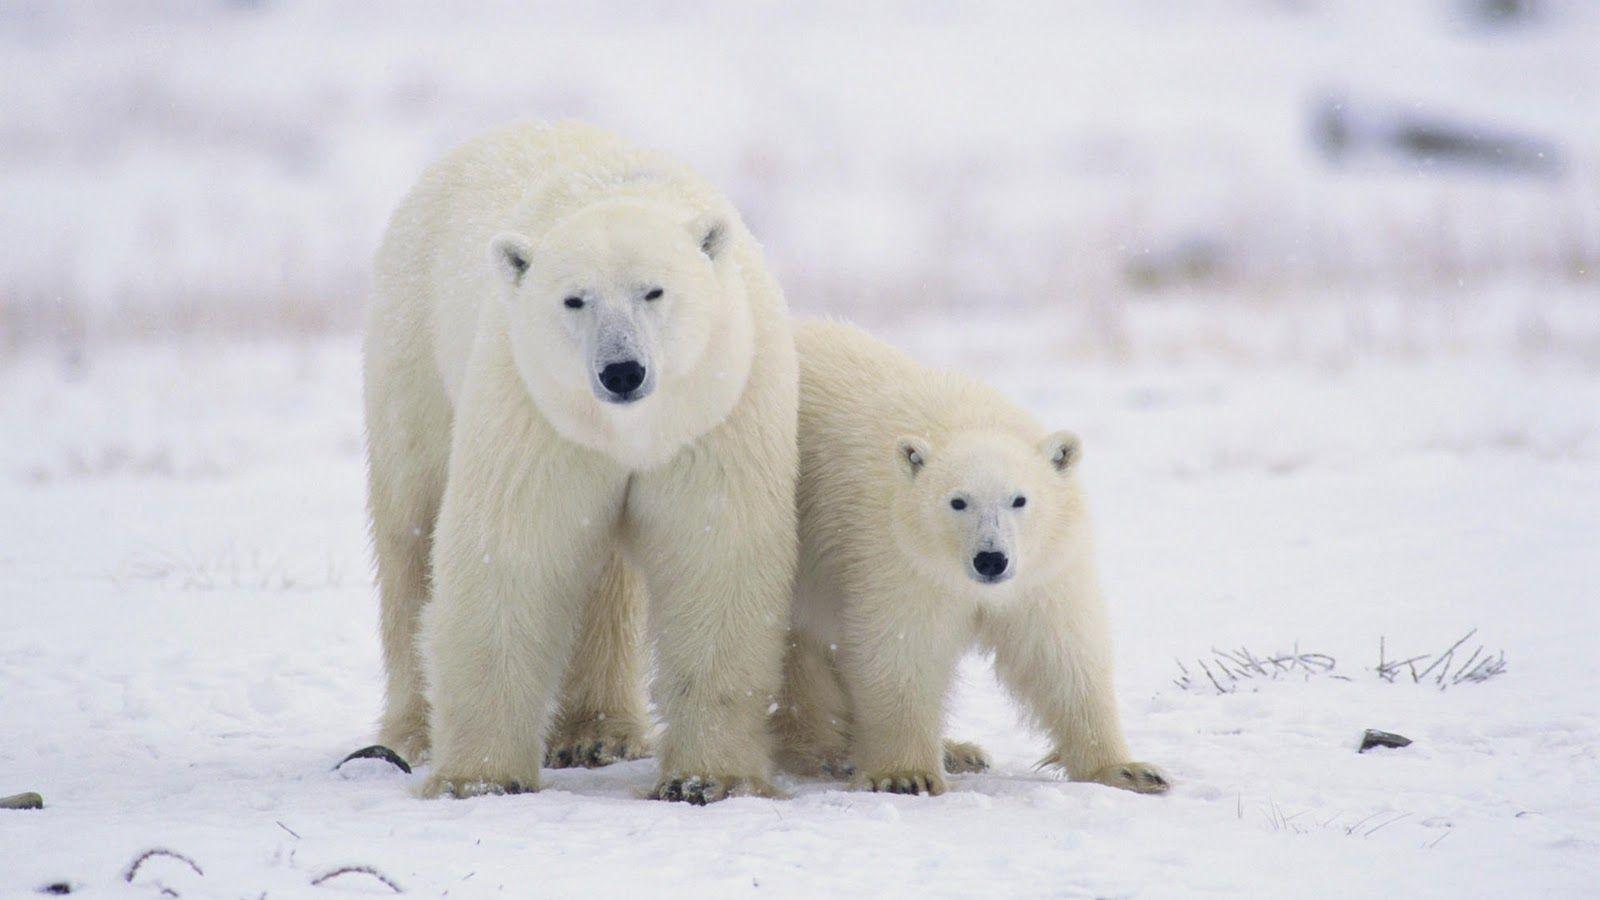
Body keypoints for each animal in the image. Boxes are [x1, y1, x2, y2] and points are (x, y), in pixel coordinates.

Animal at [365, 122, 798, 804]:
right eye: (574, 300)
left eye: (654, 290)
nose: (622, 371)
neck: (629, 430)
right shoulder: (535, 408)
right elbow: (512, 548)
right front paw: (479, 778)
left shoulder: (717, 406)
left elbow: (716, 553)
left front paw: (706, 778)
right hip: (413, 350)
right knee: (411, 530)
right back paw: (412, 733)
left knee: (606, 579)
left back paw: (598, 734)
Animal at [770, 320, 1168, 797]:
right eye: (957, 501)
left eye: (1020, 499)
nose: (991, 559)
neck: (963, 420)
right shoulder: (897, 554)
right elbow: (902, 647)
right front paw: (906, 774)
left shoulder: (1043, 567)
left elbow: (1059, 651)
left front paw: (1128, 770)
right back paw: (826, 751)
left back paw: (958, 751)